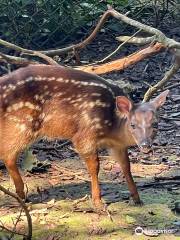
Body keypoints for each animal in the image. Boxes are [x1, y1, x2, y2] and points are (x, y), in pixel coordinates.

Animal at [0, 64, 169, 209]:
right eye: (133, 124)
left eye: (155, 124)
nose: (145, 146)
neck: (112, 127)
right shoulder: (85, 134)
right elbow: (95, 166)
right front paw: (98, 202)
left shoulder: (117, 145)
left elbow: (126, 166)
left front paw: (137, 198)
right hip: (22, 124)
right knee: (8, 154)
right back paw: (22, 195)